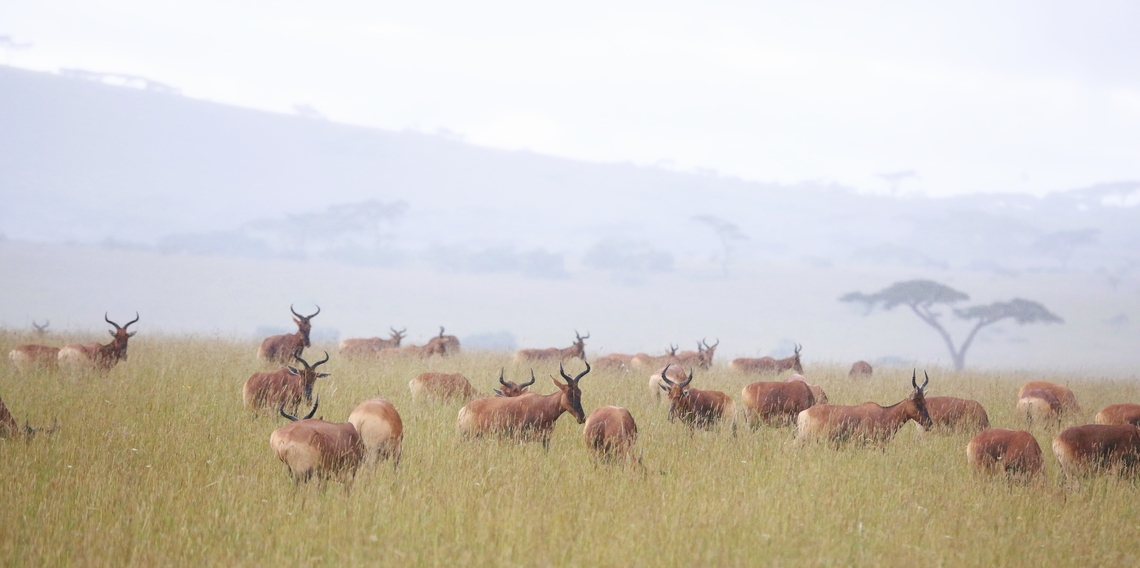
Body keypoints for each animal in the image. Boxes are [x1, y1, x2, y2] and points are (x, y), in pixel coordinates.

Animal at [456, 362, 590, 448]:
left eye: (580, 392)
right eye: (569, 393)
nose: (582, 418)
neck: (542, 404)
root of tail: (464, 410)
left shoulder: (545, 439)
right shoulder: (521, 438)